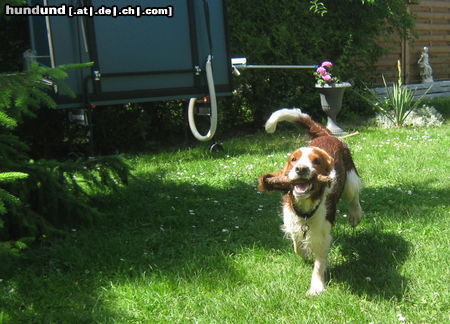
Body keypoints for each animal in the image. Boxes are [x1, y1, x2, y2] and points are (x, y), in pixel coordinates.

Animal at [258, 108, 360, 294]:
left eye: (316, 161)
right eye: (293, 159)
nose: (301, 169)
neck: (305, 206)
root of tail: (327, 134)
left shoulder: (323, 231)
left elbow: (319, 263)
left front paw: (316, 288)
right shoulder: (292, 221)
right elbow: (297, 244)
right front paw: (305, 253)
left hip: (350, 178)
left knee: (354, 196)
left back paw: (355, 216)